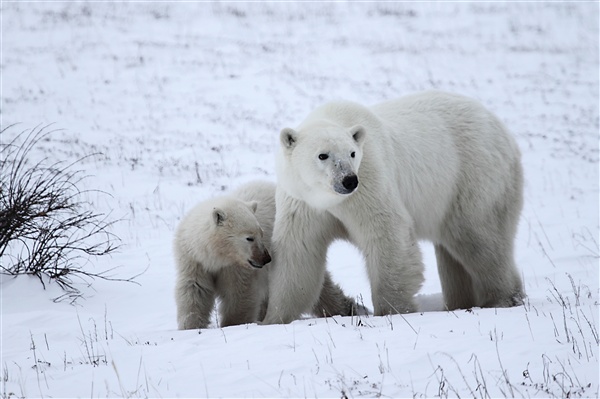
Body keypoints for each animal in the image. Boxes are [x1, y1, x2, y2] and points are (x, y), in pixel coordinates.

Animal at [171, 182, 364, 332]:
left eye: (261, 234)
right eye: (249, 238)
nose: (266, 259)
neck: (215, 256)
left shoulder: (237, 268)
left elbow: (239, 294)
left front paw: (233, 324)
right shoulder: (193, 260)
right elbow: (195, 290)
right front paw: (191, 327)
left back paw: (350, 309)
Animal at [262, 90, 524, 324]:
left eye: (352, 153)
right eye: (322, 155)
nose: (349, 180)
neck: (328, 199)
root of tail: (501, 127)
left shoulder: (369, 180)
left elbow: (387, 233)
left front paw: (393, 311)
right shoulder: (302, 202)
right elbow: (298, 254)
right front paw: (273, 319)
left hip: (473, 175)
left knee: (478, 237)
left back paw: (503, 298)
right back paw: (459, 303)